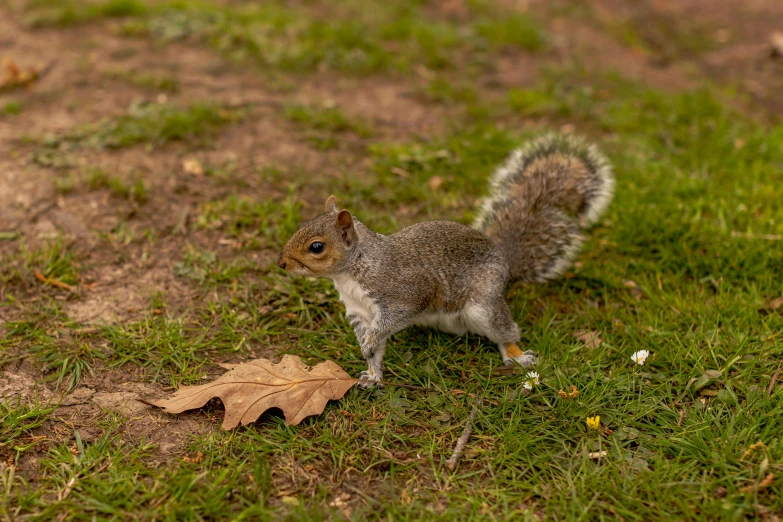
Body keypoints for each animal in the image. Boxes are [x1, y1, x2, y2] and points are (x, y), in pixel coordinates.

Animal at [278, 133, 616, 386]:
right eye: (301, 225)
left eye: (317, 247)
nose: (282, 263)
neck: (353, 269)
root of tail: (505, 264)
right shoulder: (360, 312)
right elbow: (374, 346)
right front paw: (372, 371)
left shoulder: (404, 293)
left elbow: (394, 318)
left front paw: (372, 344)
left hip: (484, 304)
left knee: (506, 331)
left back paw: (517, 355)